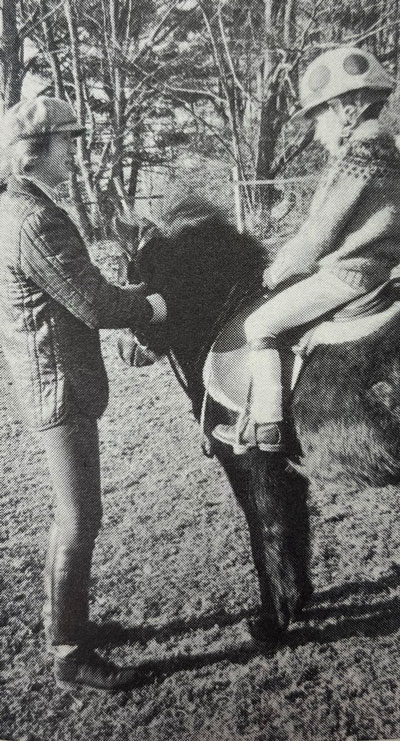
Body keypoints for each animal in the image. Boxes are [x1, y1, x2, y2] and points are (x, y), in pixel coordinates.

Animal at [122, 198, 400, 640]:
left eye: (142, 277)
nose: (127, 349)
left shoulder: (250, 464)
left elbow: (266, 530)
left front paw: (273, 621)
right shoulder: (287, 468)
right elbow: (295, 528)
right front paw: (298, 602)